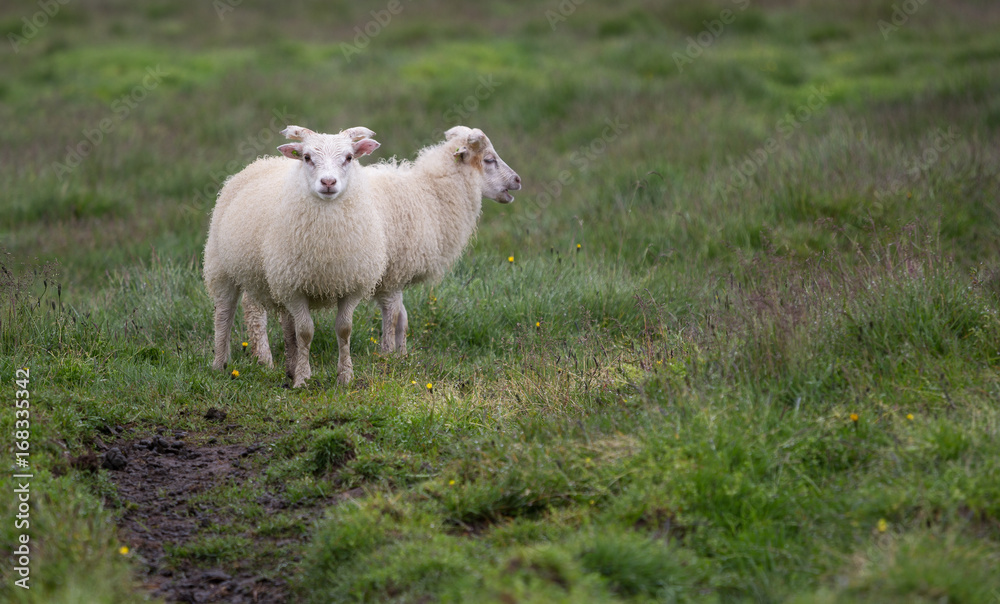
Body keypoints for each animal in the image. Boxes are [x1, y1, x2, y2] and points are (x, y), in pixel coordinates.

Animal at [203, 125, 384, 387]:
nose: (328, 182)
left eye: (349, 157)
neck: (328, 239)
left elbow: (344, 329)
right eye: (307, 158)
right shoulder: (294, 289)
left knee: (266, 313)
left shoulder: (349, 285)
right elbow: (305, 331)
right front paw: (302, 380)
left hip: (266, 275)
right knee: (224, 314)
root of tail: (262, 161)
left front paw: (345, 377)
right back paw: (221, 364)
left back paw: (283, 364)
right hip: (222, 267)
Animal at [243, 125, 522, 368]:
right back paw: (263, 360)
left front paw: (403, 355)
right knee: (253, 309)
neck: (430, 195)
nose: (518, 180)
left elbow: (403, 318)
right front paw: (388, 356)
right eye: (489, 159)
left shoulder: (394, 276)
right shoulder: (392, 275)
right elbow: (395, 316)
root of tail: (254, 167)